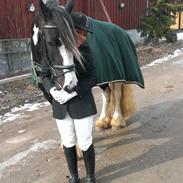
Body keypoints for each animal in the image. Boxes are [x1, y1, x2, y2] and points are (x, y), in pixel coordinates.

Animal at [30, 0, 144, 132]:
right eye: (50, 42)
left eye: (74, 41)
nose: (71, 84)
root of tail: (121, 30)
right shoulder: (49, 93)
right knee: (107, 94)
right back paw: (103, 121)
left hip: (116, 73)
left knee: (116, 93)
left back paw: (116, 120)